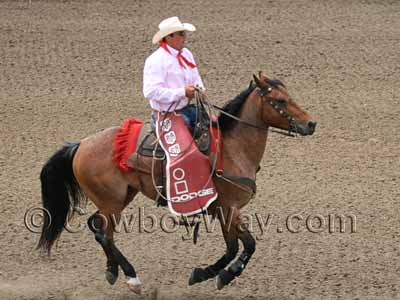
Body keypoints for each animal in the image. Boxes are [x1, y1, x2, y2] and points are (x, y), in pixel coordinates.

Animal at [39, 72, 318, 292]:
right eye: (280, 101)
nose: (311, 123)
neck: (232, 149)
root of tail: (80, 144)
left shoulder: (223, 210)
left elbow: (233, 246)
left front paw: (205, 274)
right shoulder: (229, 209)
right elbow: (247, 245)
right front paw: (224, 274)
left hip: (121, 197)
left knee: (98, 228)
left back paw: (113, 271)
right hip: (112, 202)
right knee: (103, 233)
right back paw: (132, 277)